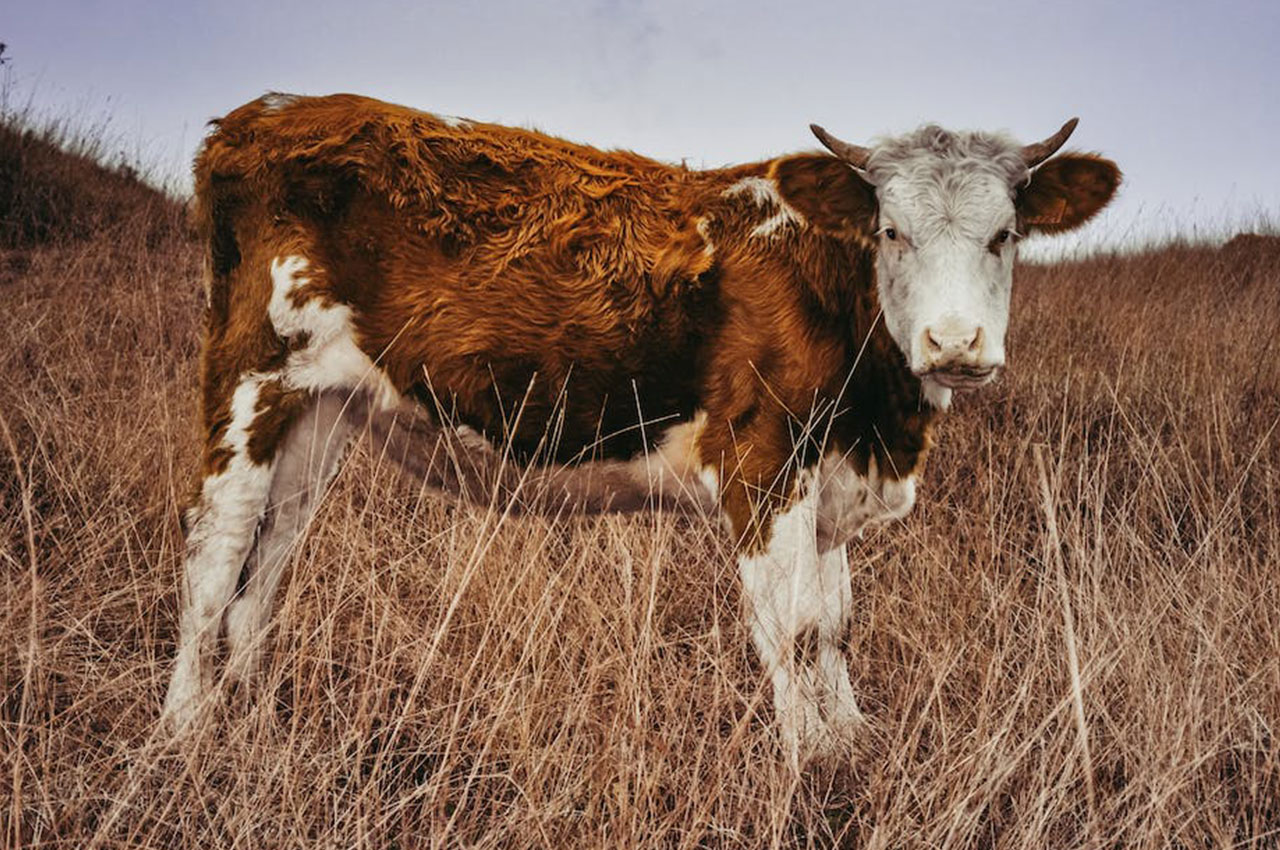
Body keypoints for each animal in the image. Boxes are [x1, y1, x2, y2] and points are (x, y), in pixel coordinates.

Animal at [160, 94, 1121, 762]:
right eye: (891, 230)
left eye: (1005, 235)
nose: (955, 343)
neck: (881, 419)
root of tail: (261, 115)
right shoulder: (762, 462)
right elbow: (794, 627)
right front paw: (811, 765)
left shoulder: (832, 482)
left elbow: (838, 623)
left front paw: (851, 740)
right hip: (248, 381)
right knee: (213, 558)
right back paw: (184, 733)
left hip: (318, 417)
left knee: (264, 571)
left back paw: (254, 720)